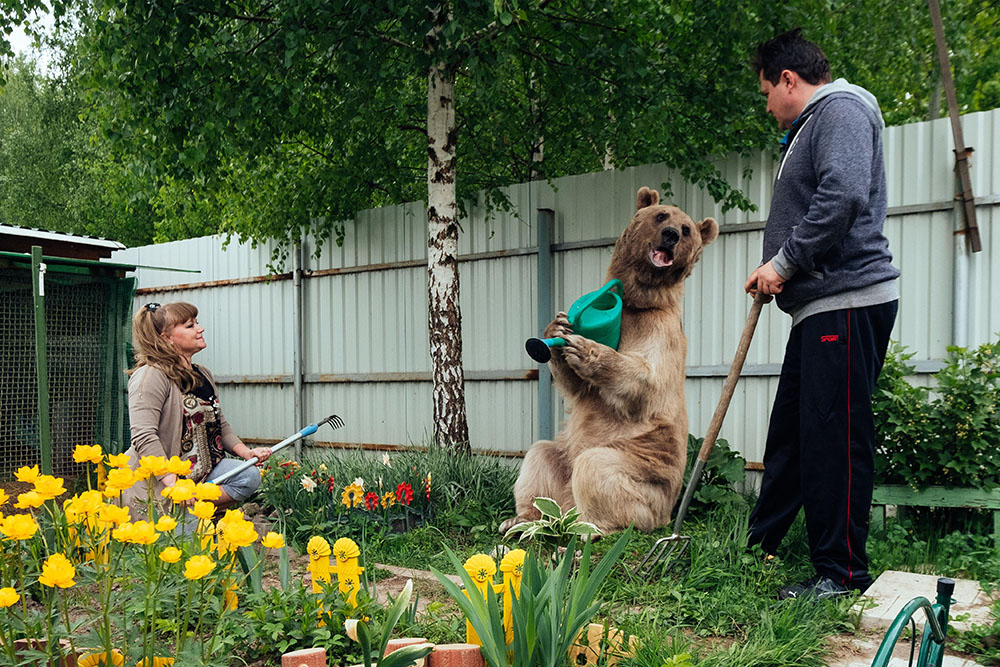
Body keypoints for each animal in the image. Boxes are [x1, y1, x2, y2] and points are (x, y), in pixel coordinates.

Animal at [500, 188, 720, 536]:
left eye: (687, 229)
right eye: (661, 216)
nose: (671, 235)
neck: (636, 302)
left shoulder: (661, 330)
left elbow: (647, 379)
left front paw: (587, 348)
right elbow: (576, 387)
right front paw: (557, 328)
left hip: (643, 473)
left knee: (597, 469)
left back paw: (589, 527)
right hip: (564, 459)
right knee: (539, 456)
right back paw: (521, 518)